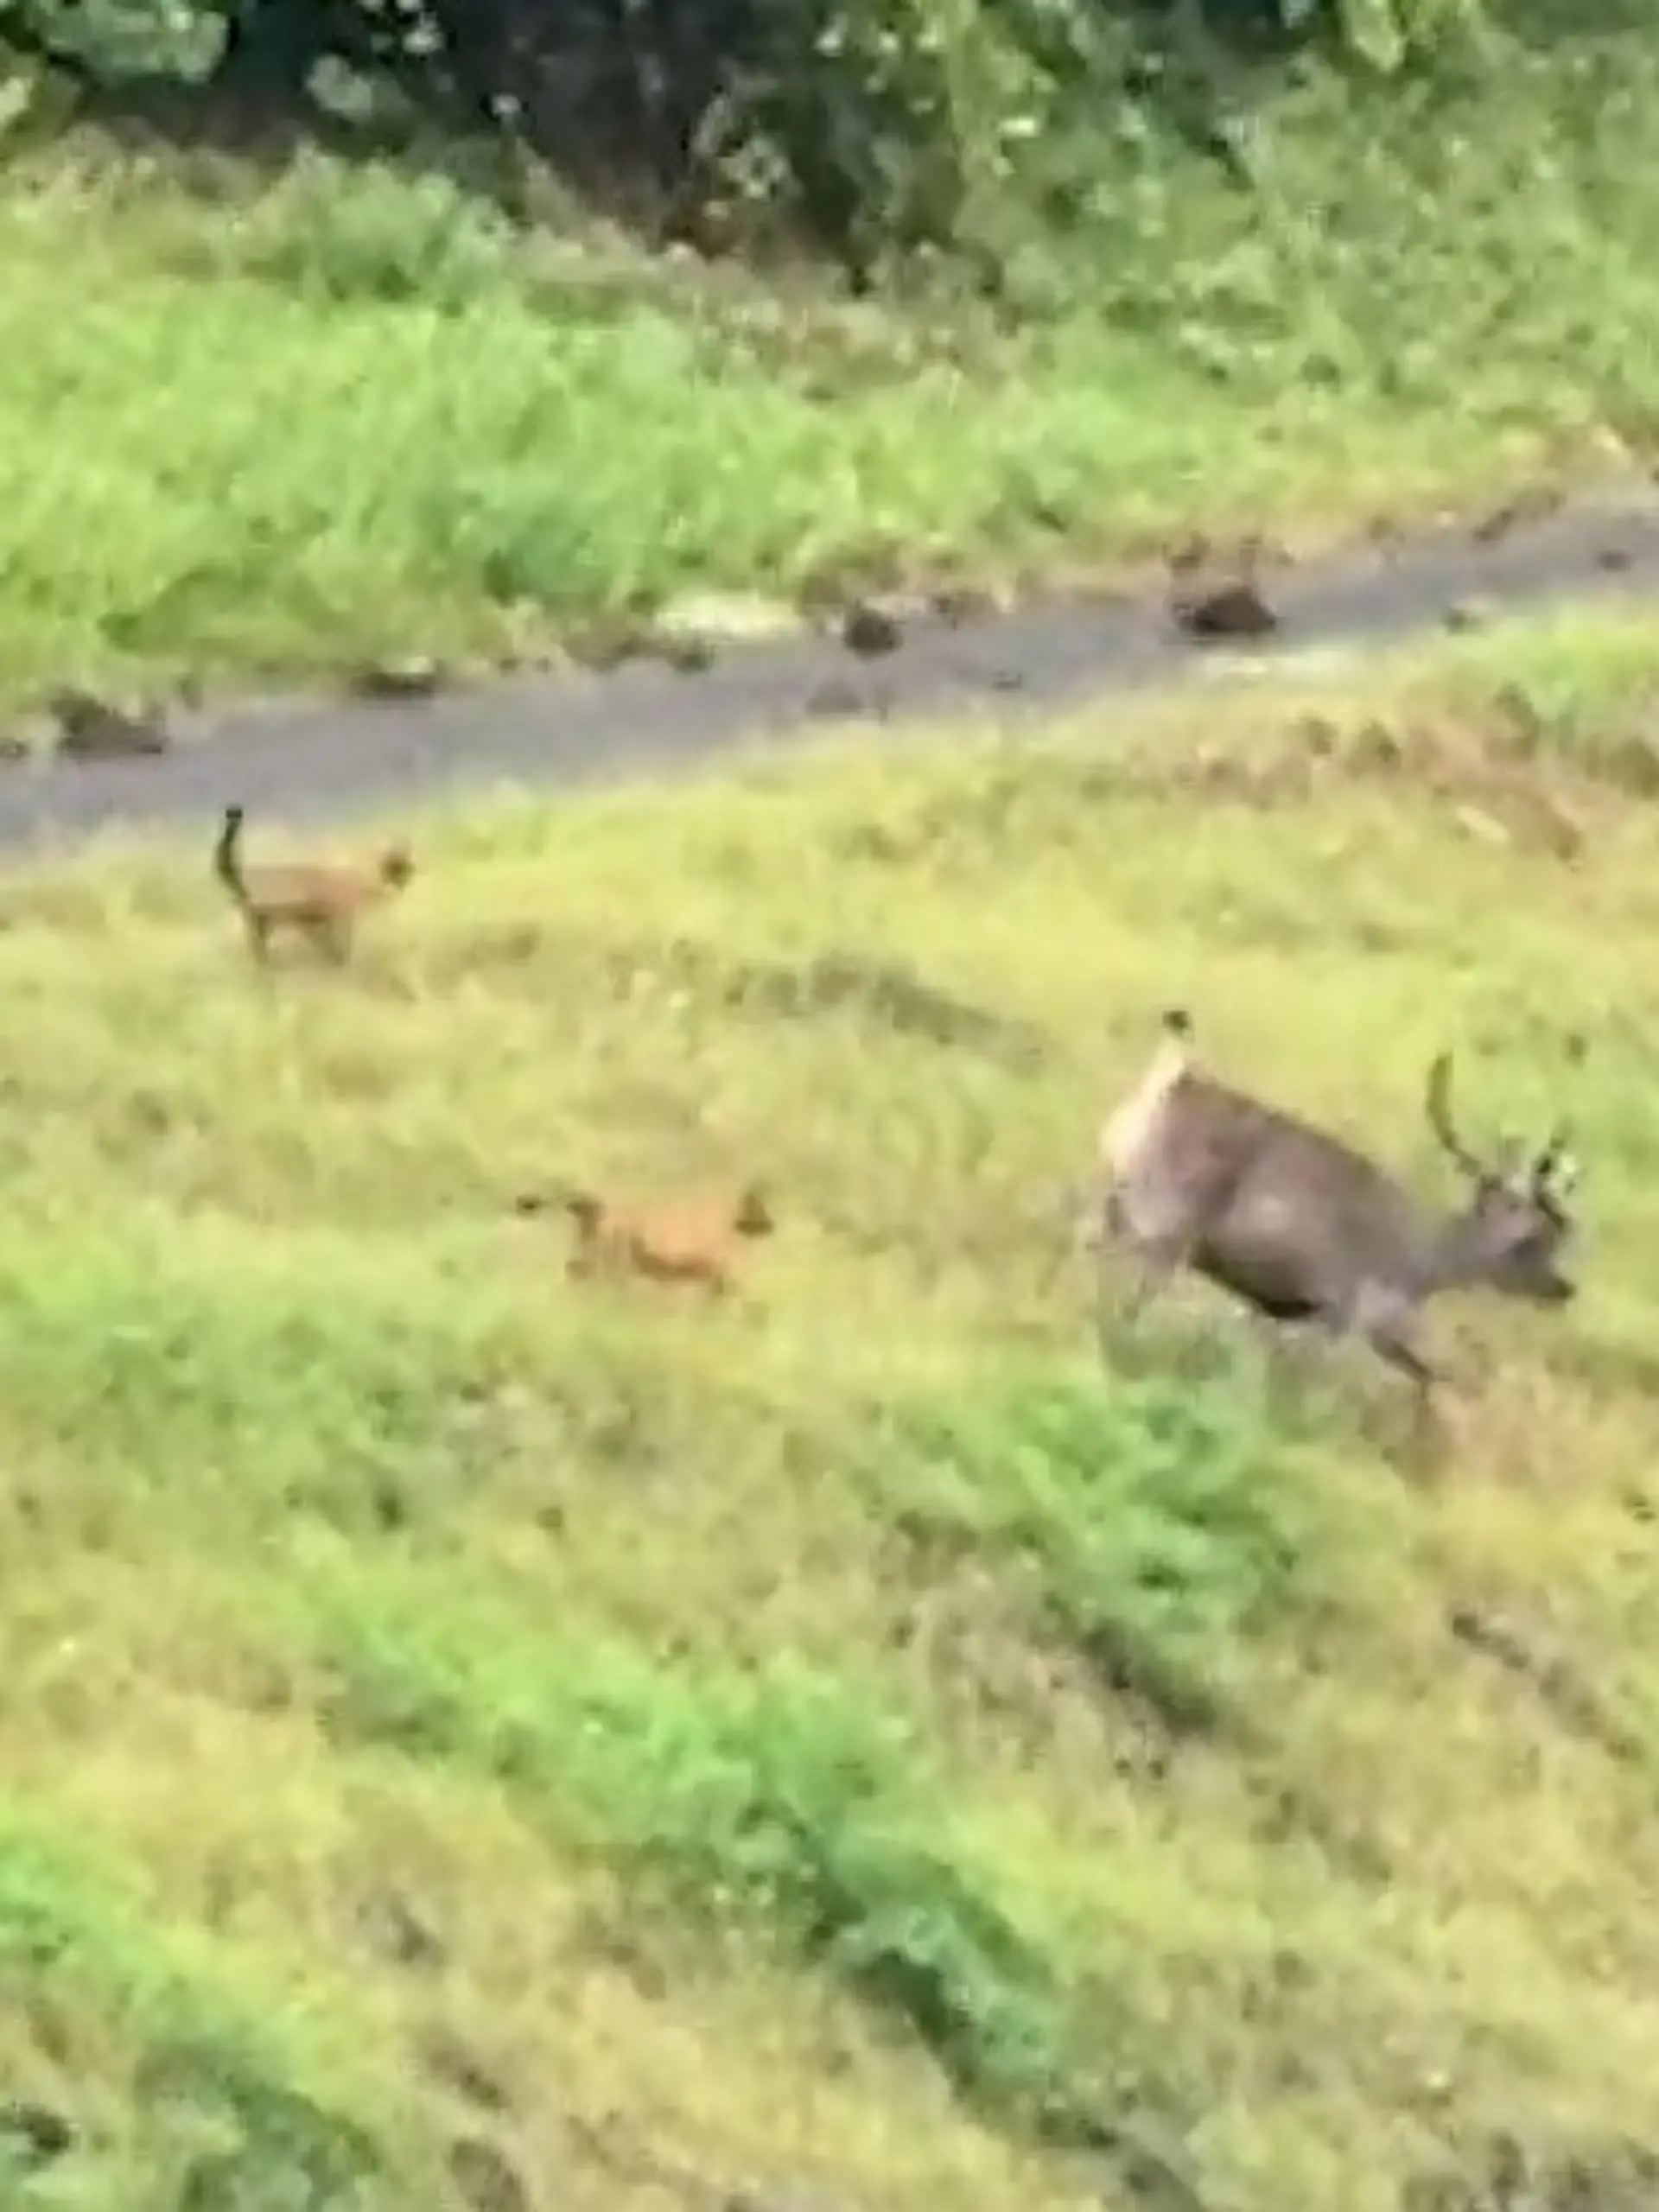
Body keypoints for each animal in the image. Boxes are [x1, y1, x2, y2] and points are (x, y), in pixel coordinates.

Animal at [1082, 1009, 1580, 1433]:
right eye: (1537, 1237)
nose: (1564, 1289)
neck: (1419, 1265)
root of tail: (1171, 1079)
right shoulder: (1338, 1315)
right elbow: (1302, 1389)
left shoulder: (1305, 1317)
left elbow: (1428, 1376)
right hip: (1162, 1224)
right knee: (1124, 1295)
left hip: (1117, 1201)